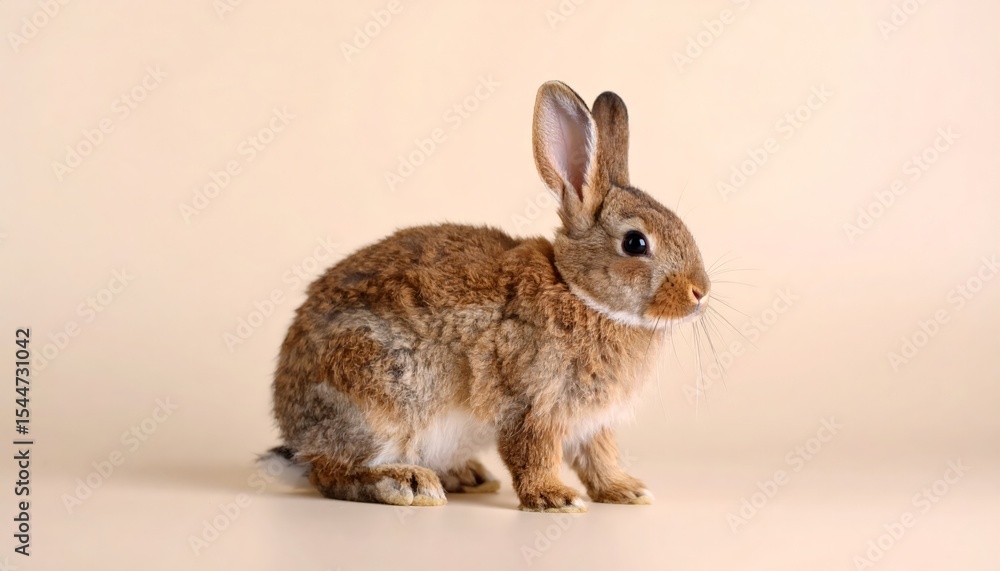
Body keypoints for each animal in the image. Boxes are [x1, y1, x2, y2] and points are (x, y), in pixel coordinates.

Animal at [268, 80, 710, 512]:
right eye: (635, 243)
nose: (700, 292)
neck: (578, 291)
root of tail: (297, 432)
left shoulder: (590, 423)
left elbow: (599, 456)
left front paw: (626, 490)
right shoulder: (531, 402)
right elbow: (533, 452)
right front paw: (556, 497)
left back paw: (466, 476)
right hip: (377, 400)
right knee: (330, 472)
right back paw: (407, 483)